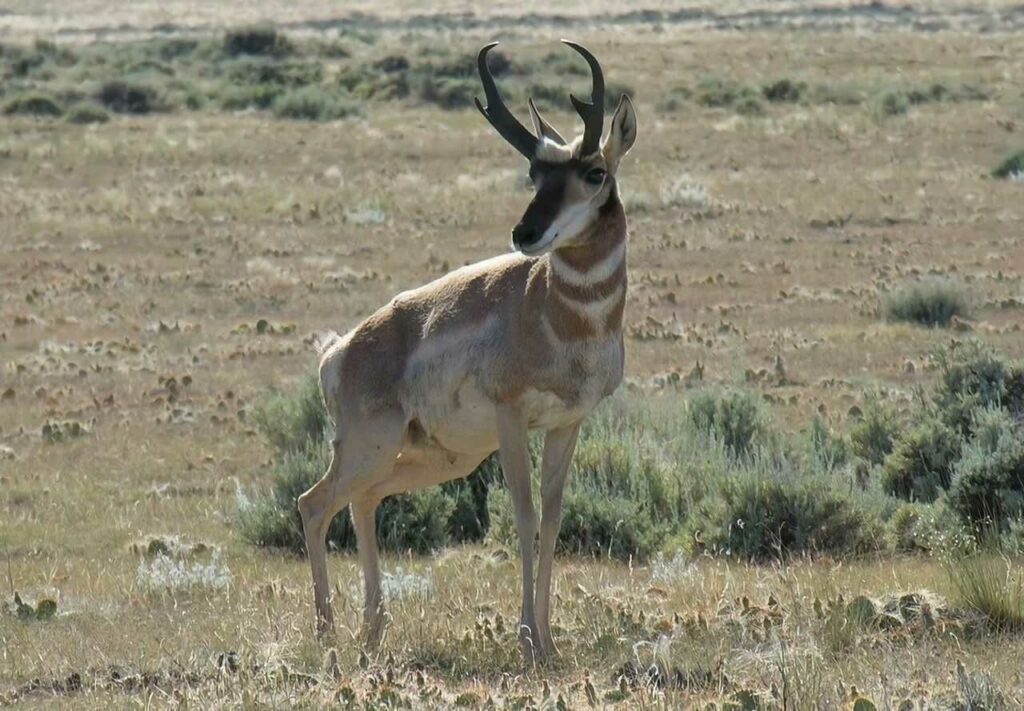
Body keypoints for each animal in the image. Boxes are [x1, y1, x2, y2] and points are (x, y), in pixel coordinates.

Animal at [299, 38, 630, 663]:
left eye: (594, 172)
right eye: (534, 172)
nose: (525, 234)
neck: (558, 315)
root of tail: (342, 349)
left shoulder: (566, 424)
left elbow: (553, 518)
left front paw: (550, 642)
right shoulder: (511, 420)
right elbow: (523, 515)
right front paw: (528, 640)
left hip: (430, 459)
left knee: (362, 501)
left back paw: (372, 629)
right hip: (372, 448)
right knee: (315, 502)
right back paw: (327, 636)